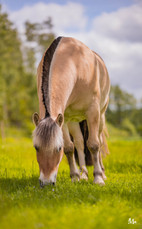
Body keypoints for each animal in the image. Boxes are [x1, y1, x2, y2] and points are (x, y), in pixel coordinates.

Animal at [32, 35, 110, 186]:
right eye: (36, 147)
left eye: (58, 148)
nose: (46, 182)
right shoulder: (64, 118)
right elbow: (69, 147)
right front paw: (75, 176)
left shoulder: (93, 112)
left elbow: (94, 145)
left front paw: (98, 178)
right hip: (73, 121)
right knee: (79, 143)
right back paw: (83, 174)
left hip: (101, 116)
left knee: (98, 141)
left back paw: (102, 173)